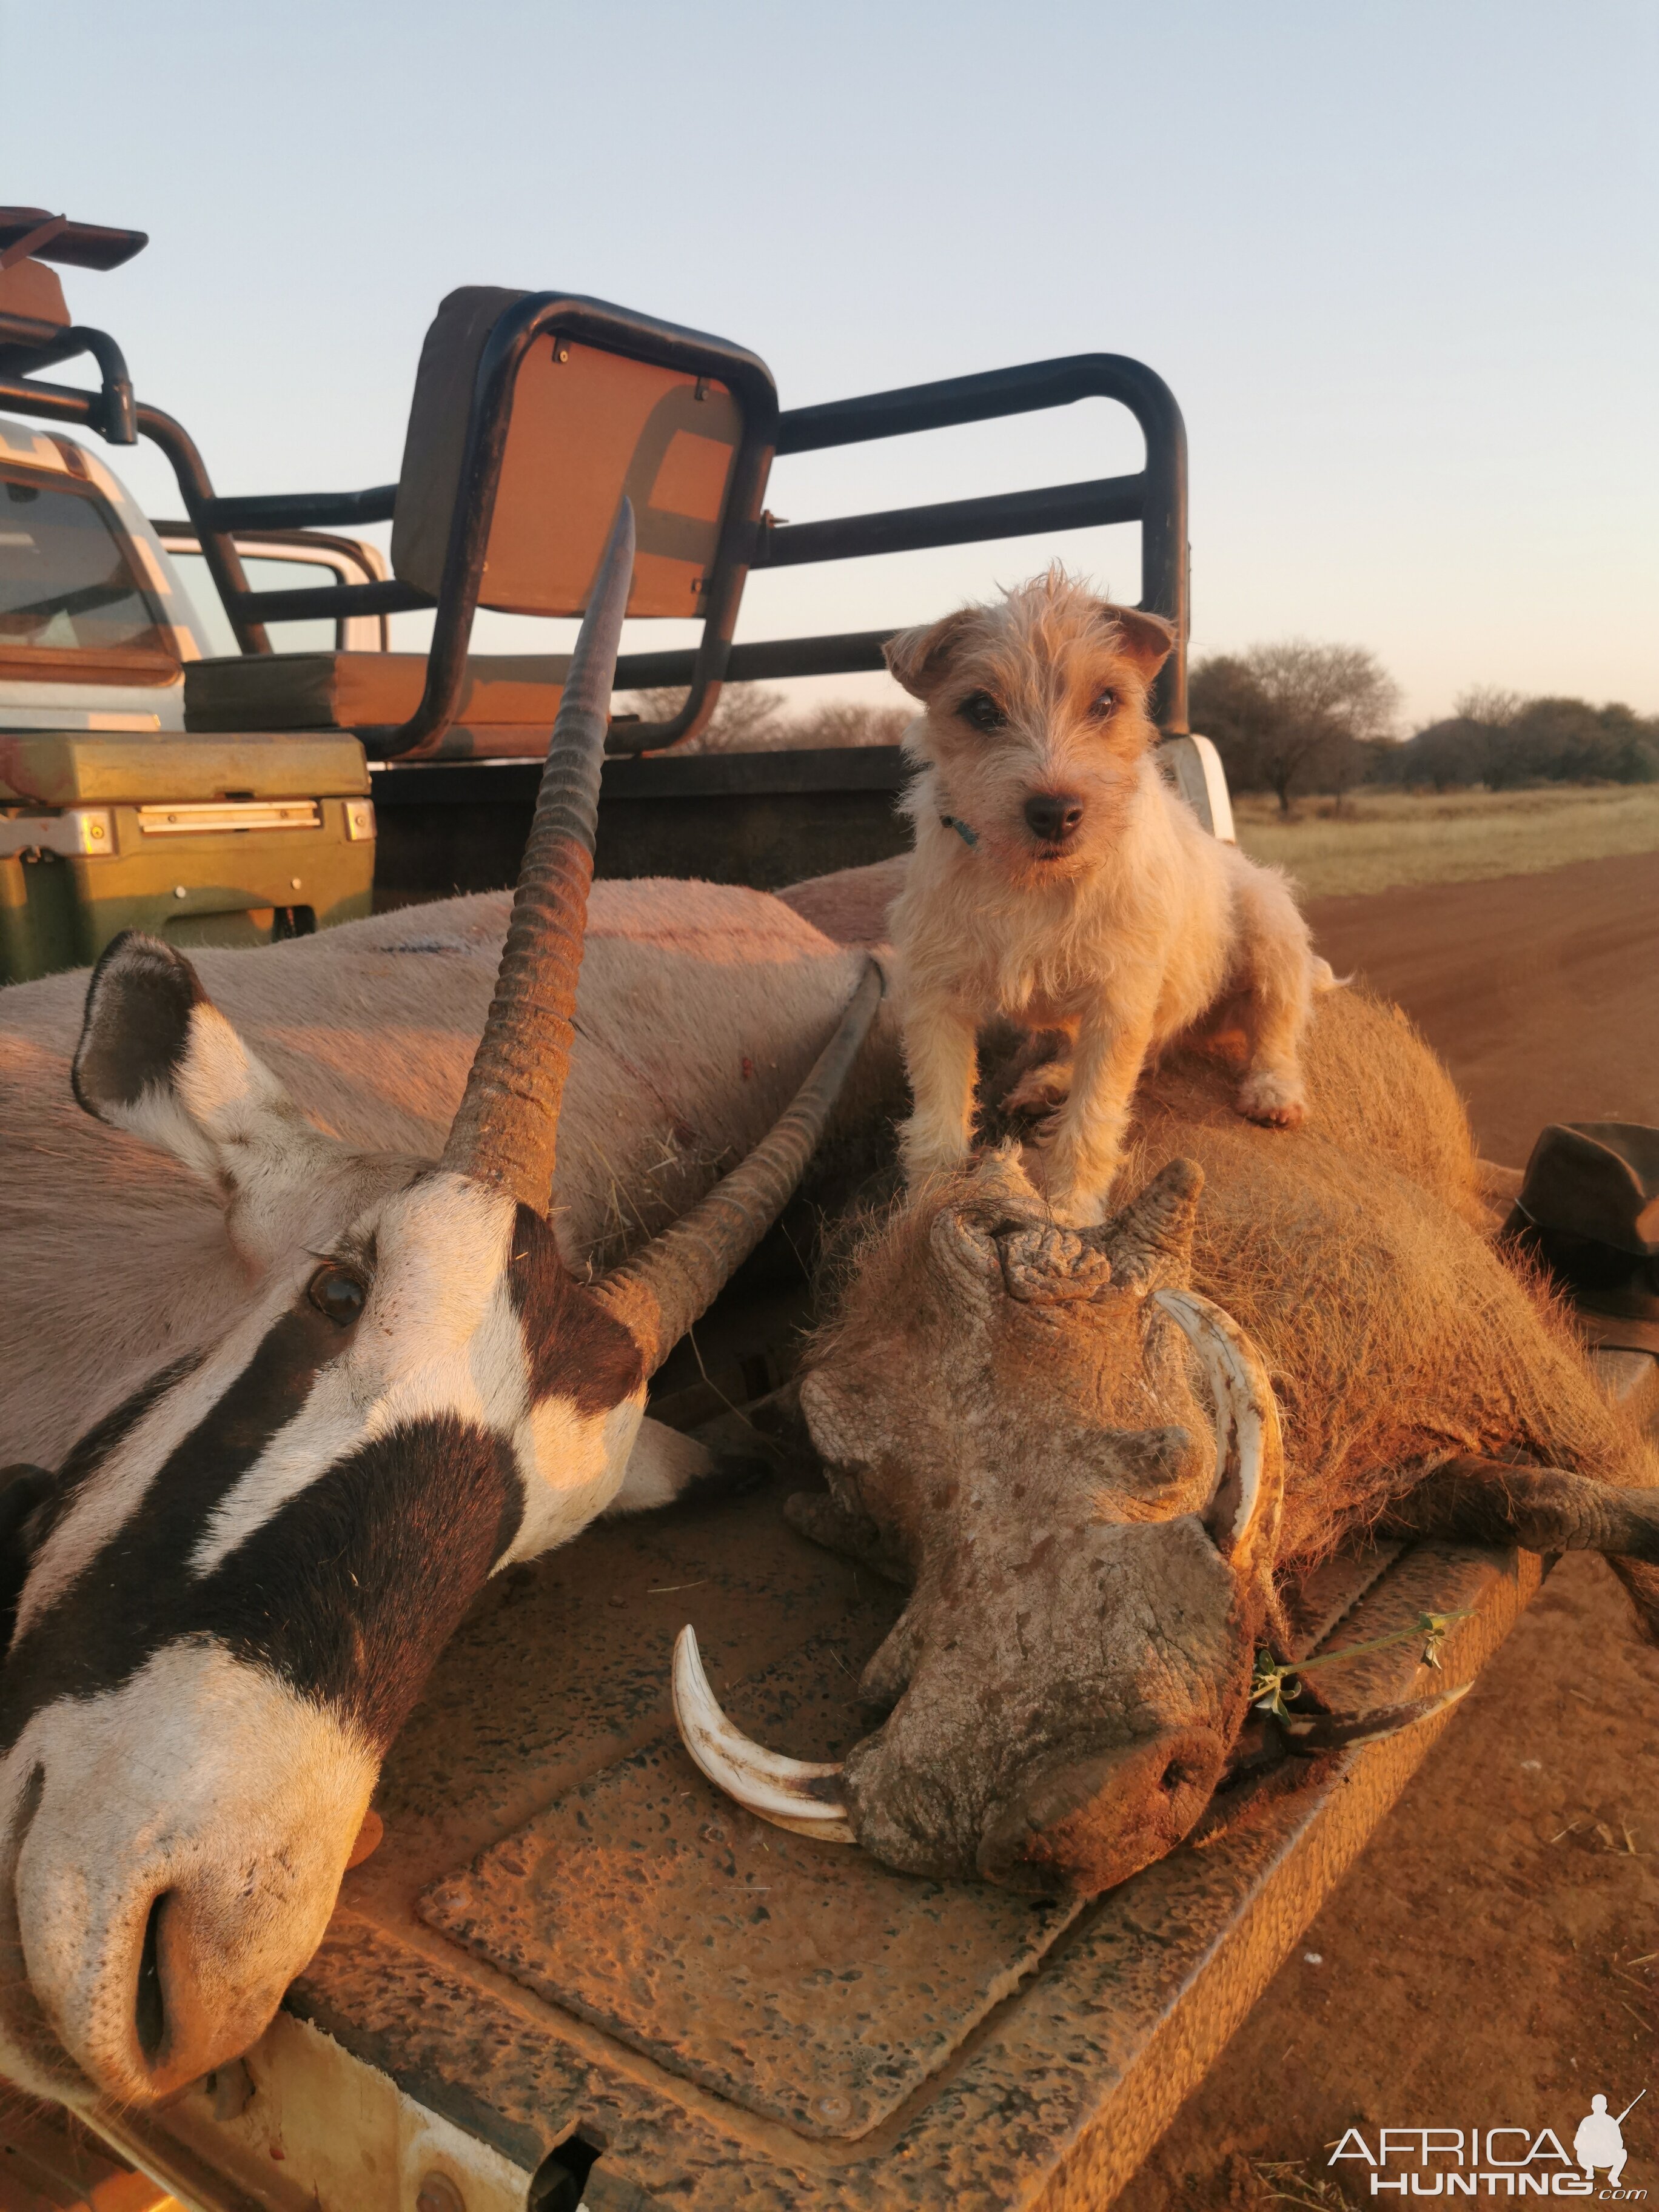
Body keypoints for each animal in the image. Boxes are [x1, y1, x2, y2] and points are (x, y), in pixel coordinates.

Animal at [889, 571, 1336, 1230]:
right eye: (981, 710)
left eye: (1105, 703)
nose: (1056, 813)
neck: (1032, 883)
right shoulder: (934, 998)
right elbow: (937, 1121)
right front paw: (923, 1211)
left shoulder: (1118, 1003)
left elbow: (1092, 1120)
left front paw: (1073, 1213)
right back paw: (1047, 1081)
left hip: (1270, 922)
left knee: (1276, 1027)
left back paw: (1273, 1092)